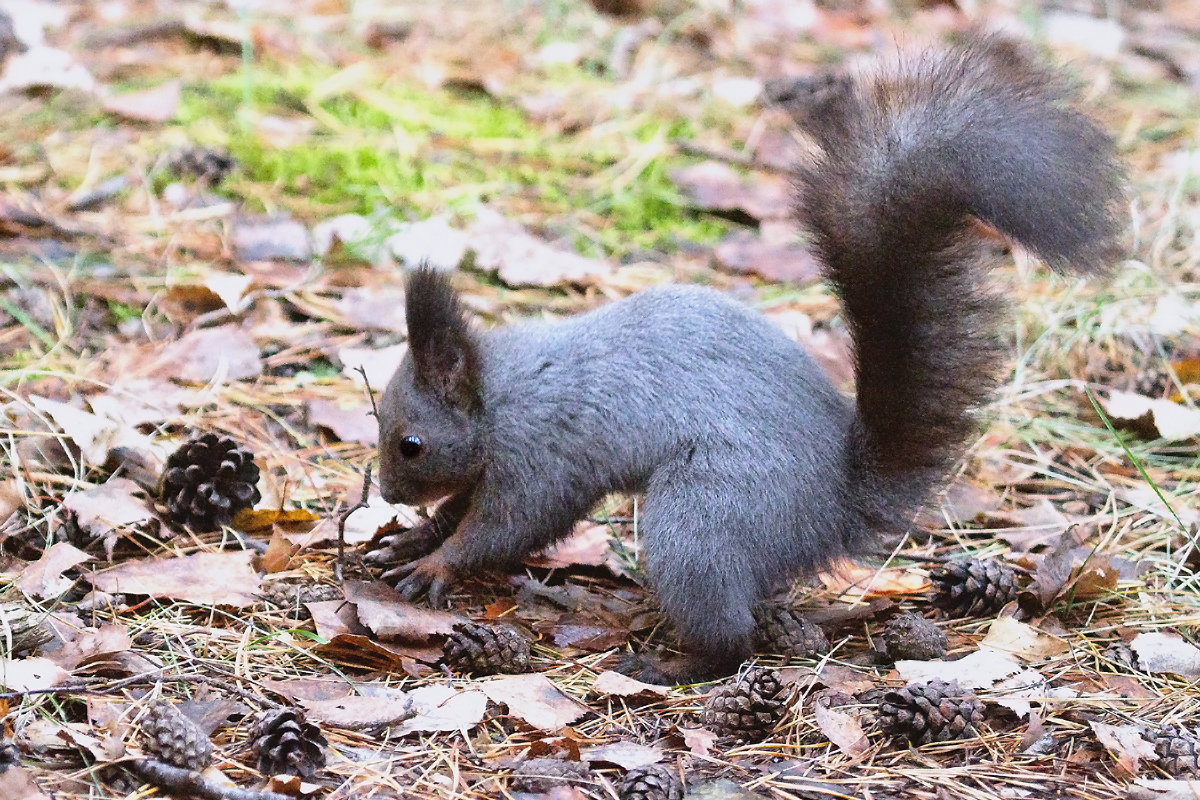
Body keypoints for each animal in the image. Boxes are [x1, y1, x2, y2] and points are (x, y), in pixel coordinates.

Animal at [364, 37, 1123, 686]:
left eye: (410, 443)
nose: (388, 494)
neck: (503, 394)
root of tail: (834, 507)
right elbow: (462, 506)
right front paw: (413, 538)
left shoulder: (544, 455)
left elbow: (507, 526)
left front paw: (439, 564)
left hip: (703, 518)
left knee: (728, 639)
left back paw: (667, 665)